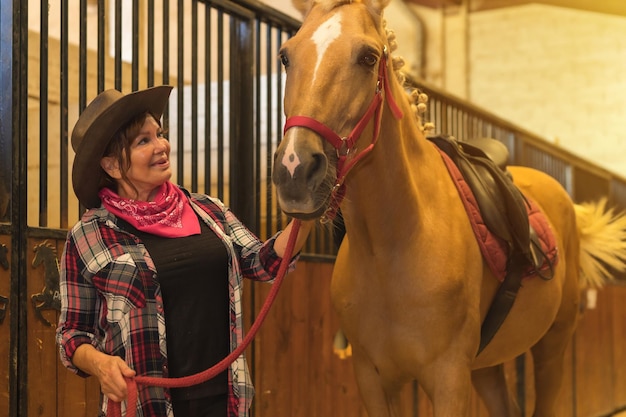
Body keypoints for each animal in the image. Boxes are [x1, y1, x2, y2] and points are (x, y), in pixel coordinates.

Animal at [270, 0, 624, 416]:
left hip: (553, 345)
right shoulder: (372, 379)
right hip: (487, 365)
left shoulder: (448, 377)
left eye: (368, 57)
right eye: (285, 56)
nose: (294, 169)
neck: (392, 245)